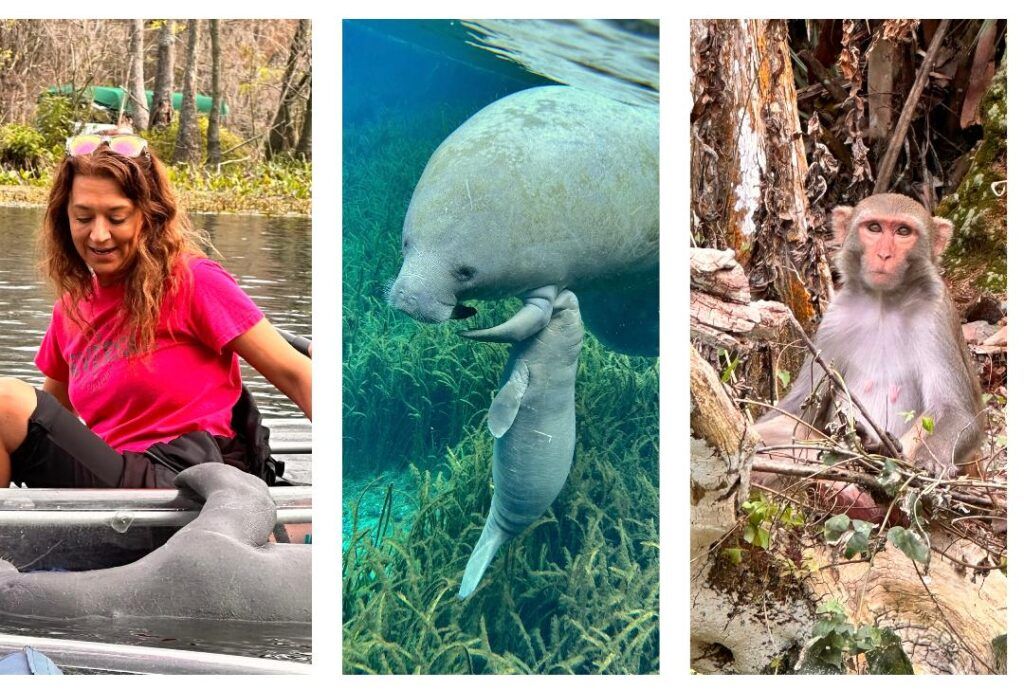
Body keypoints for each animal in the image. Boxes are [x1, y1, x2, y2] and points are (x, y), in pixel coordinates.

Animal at [753, 193, 985, 515]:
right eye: (874, 228)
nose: (884, 255)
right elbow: (799, 411)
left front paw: (928, 465)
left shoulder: (935, 316)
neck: (883, 303)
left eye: (903, 232)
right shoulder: (834, 321)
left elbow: (957, 413)